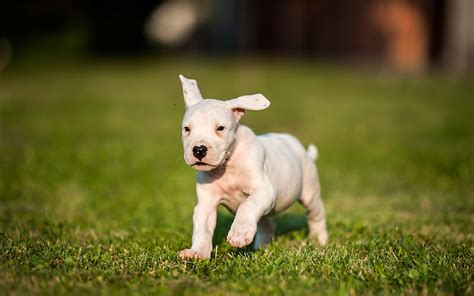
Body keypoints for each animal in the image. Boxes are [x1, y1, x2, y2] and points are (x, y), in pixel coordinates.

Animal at [176, 75, 328, 260]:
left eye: (220, 128)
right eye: (187, 129)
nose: (198, 150)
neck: (228, 165)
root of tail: (303, 151)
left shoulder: (263, 190)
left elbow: (247, 205)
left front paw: (239, 233)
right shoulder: (206, 204)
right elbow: (202, 229)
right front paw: (197, 253)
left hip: (309, 191)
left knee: (316, 213)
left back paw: (319, 239)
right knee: (267, 223)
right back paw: (261, 247)